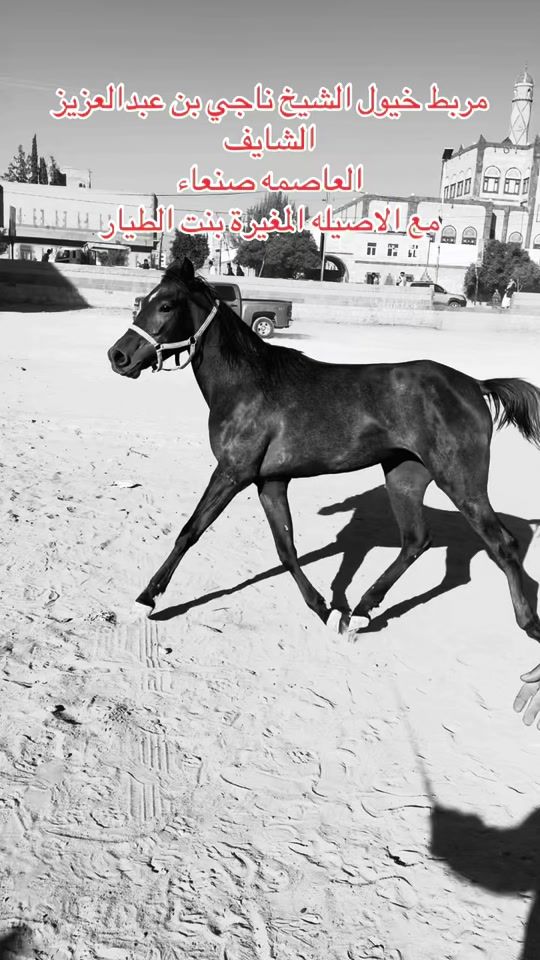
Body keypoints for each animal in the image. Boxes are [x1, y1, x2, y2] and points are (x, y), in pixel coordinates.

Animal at [107, 257, 540, 641]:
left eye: (165, 305)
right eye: (144, 301)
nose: (118, 355)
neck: (248, 384)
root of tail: (474, 384)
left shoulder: (232, 472)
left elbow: (190, 531)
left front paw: (145, 600)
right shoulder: (270, 481)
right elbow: (286, 549)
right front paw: (327, 610)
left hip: (462, 481)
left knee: (502, 545)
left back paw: (528, 624)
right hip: (405, 476)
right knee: (416, 541)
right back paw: (362, 610)